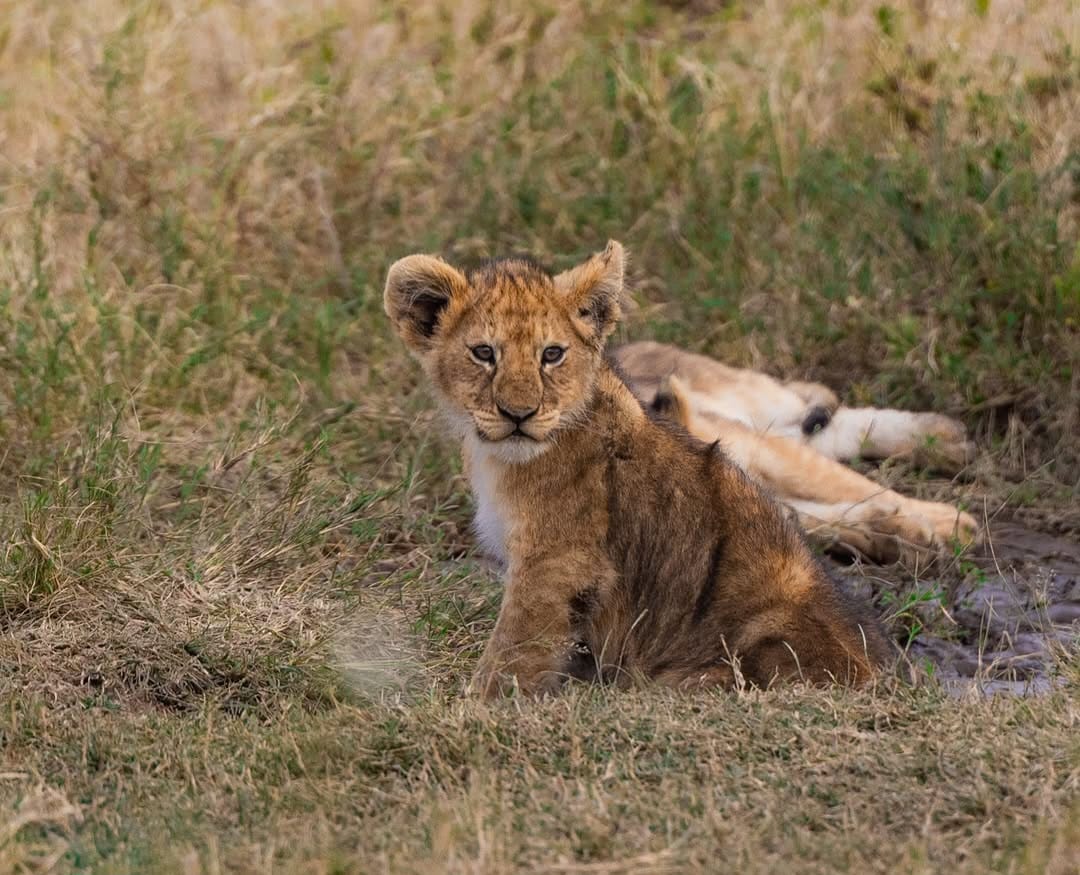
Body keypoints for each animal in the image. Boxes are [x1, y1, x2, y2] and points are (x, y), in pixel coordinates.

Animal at [384, 241, 891, 697]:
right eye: (484, 353)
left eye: (552, 354)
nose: (518, 414)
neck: (503, 458)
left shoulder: (557, 559)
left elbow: (513, 649)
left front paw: (476, 706)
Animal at [613, 343, 981, 566]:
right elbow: (817, 520)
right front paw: (900, 535)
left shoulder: (761, 449)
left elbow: (852, 486)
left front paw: (957, 525)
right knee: (827, 432)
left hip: (757, 401)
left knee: (822, 411)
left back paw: (947, 440)